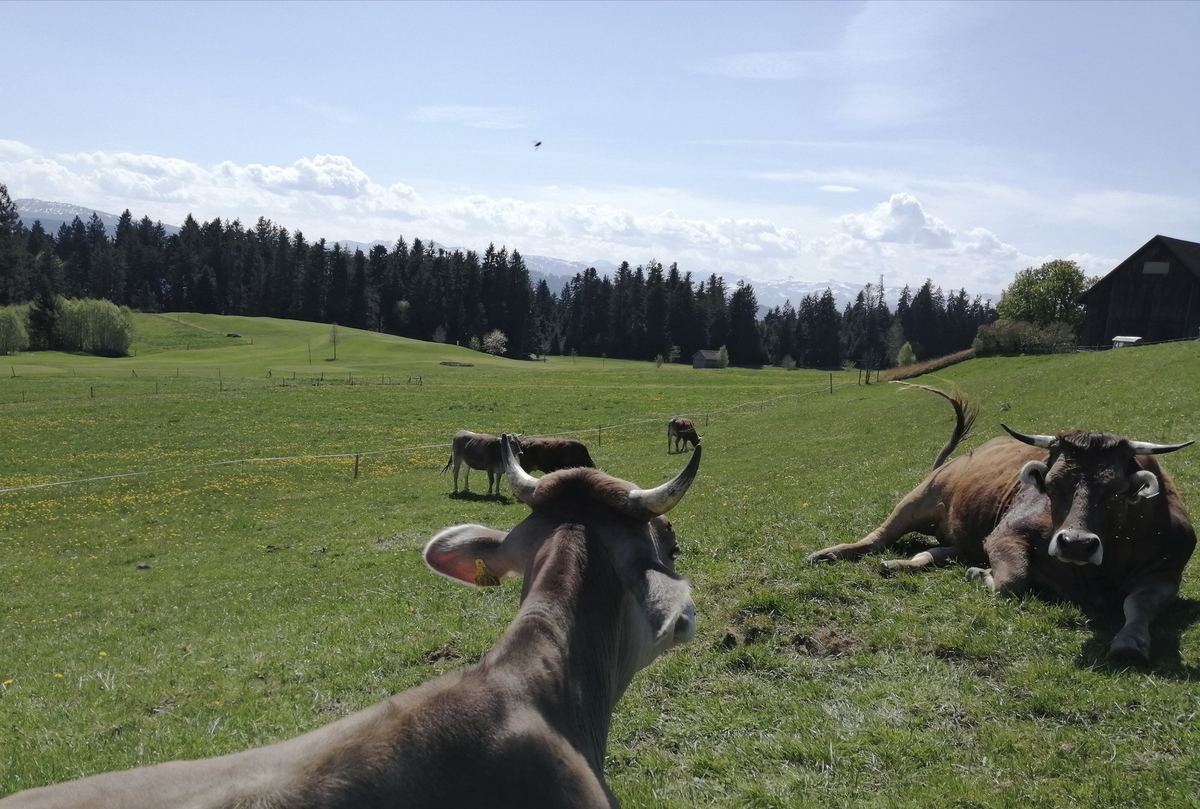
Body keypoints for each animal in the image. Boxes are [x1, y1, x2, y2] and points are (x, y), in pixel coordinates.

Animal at [806, 383, 1195, 663]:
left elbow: (1138, 605)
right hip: (919, 498)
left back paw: (901, 564)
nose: (1076, 543)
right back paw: (830, 554)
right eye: (1051, 485)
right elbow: (1013, 580)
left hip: (958, 535)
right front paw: (982, 575)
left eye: (1117, 491)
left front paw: (1130, 641)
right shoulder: (1005, 534)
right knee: (878, 538)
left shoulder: (1167, 573)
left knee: (936, 552)